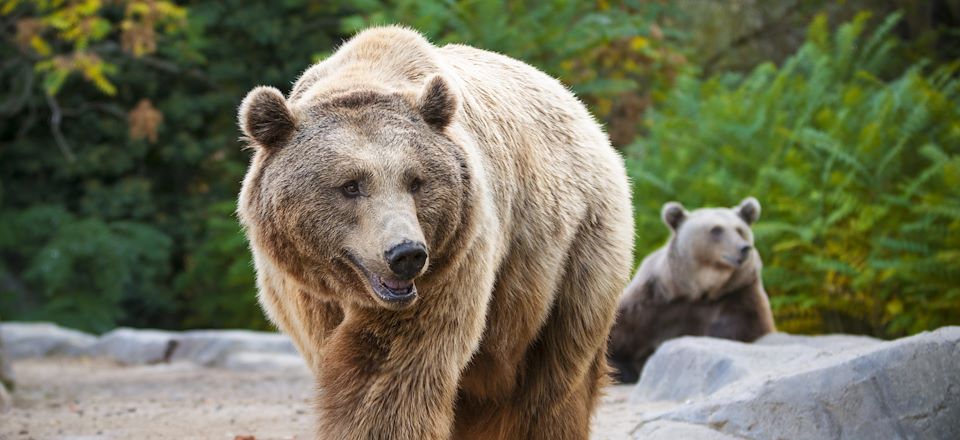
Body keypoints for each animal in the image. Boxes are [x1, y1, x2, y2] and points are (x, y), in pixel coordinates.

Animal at [236, 25, 632, 438]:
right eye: (350, 185)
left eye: (415, 181)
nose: (405, 254)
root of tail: (584, 115)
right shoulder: (307, 293)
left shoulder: (451, 263)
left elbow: (392, 369)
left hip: (571, 254)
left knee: (554, 373)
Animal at [612, 198, 776, 384]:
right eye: (716, 230)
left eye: (739, 230)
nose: (744, 248)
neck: (698, 289)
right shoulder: (653, 301)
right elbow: (620, 328)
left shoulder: (738, 292)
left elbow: (744, 324)